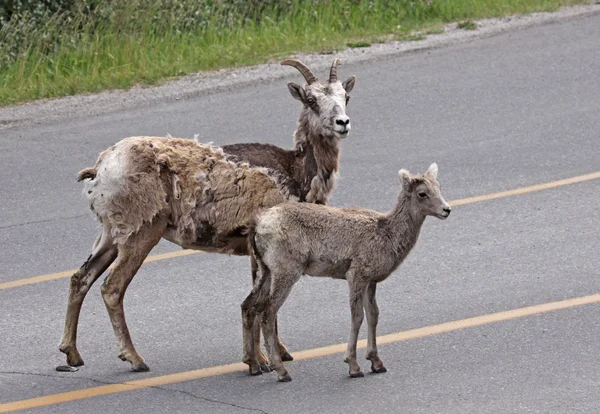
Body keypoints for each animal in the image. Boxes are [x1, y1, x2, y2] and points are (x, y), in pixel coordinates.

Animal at [57, 58, 356, 372]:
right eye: (311, 100)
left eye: (345, 97)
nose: (342, 123)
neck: (296, 172)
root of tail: (101, 168)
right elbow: (263, 303)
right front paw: (264, 359)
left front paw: (274, 354)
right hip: (140, 233)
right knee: (112, 288)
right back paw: (135, 359)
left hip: (110, 235)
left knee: (80, 279)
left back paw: (72, 354)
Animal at [240, 163, 450, 380]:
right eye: (422, 193)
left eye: (438, 187)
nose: (446, 209)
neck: (387, 235)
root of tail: (257, 226)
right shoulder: (356, 275)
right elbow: (357, 317)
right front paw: (354, 366)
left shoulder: (370, 280)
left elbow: (373, 315)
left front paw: (377, 363)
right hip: (286, 272)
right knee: (267, 312)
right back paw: (281, 371)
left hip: (265, 270)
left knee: (249, 306)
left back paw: (254, 365)